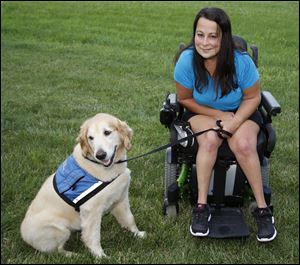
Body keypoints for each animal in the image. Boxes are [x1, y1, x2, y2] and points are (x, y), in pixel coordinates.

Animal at [20, 112, 146, 256]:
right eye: (90, 138)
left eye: (107, 132)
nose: (100, 155)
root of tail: (23, 236)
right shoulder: (91, 210)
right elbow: (93, 236)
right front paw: (100, 255)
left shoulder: (121, 198)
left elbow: (129, 219)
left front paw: (138, 234)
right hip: (60, 230)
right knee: (57, 250)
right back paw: (73, 255)